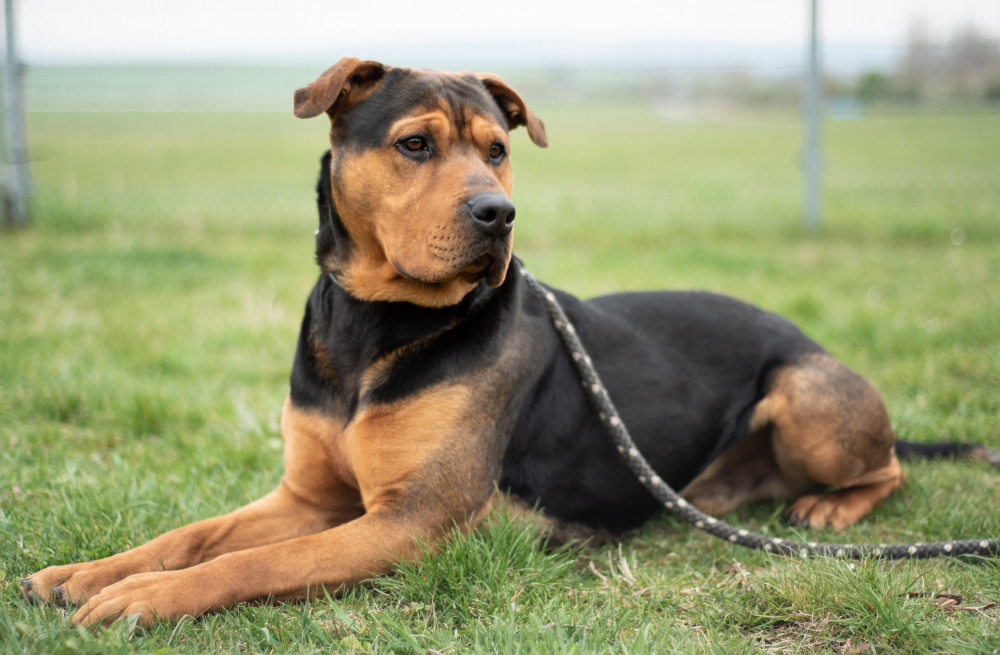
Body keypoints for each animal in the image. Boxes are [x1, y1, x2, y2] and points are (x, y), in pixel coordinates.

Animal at [22, 58, 997, 627]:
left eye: (499, 148)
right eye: (416, 144)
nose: (499, 215)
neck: (378, 321)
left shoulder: (407, 519)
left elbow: (257, 561)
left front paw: (143, 598)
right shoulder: (308, 494)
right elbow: (196, 533)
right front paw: (87, 571)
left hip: (808, 396)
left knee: (891, 466)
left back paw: (831, 508)